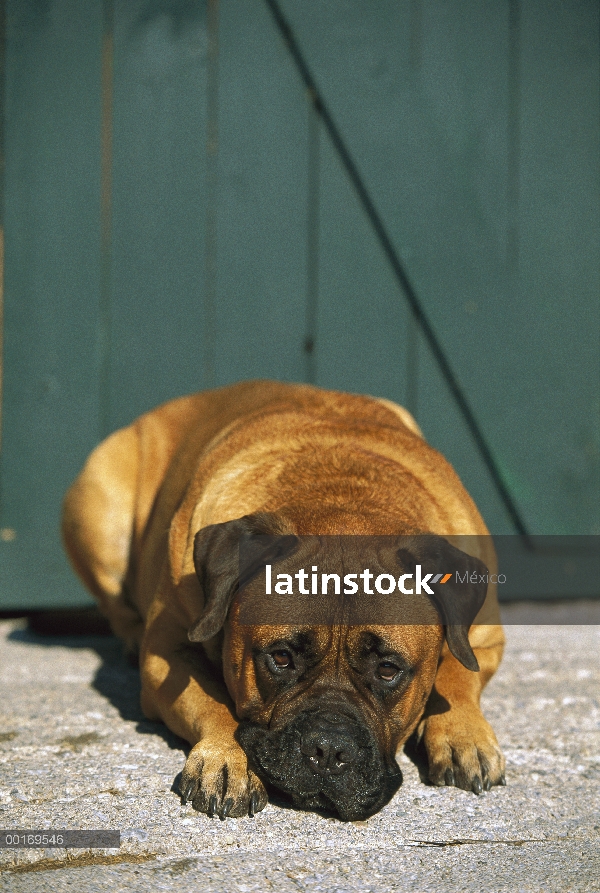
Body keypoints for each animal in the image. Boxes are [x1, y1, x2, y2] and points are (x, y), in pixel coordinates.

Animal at [61, 380, 504, 820]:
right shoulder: (166, 655)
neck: (341, 494)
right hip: (99, 506)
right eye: (281, 657)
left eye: (388, 669)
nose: (328, 750)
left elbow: (458, 673)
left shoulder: (485, 639)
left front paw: (463, 735)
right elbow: (212, 702)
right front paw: (227, 759)